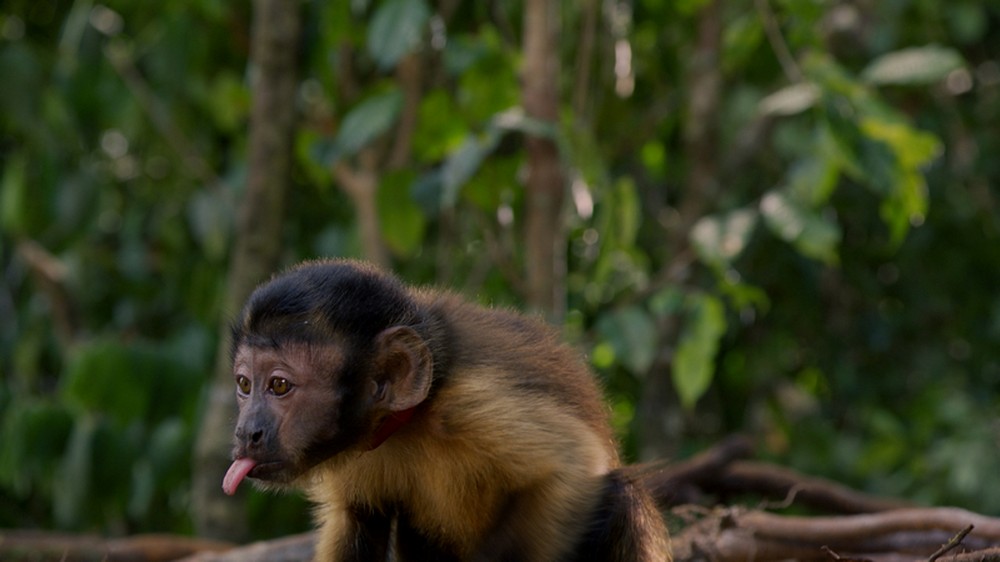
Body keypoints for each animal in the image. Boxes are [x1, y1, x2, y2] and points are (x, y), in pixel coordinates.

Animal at [223, 260, 668, 560]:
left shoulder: (472, 401)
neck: (405, 421)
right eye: (245, 385)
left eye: (280, 387)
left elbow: (573, 466)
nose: (246, 432)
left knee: (618, 495)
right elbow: (357, 519)